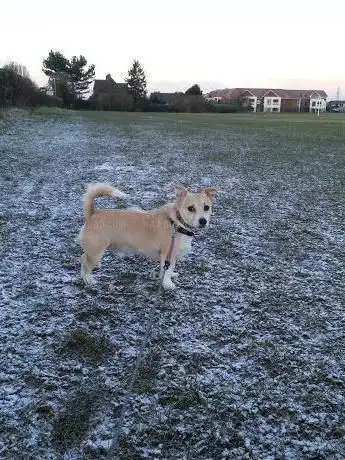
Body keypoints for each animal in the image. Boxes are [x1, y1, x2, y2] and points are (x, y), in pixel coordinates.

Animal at [78, 182, 215, 288]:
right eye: (191, 208)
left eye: (206, 207)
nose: (203, 221)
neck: (177, 222)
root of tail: (93, 213)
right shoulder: (168, 254)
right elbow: (168, 270)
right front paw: (168, 284)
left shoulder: (169, 257)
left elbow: (168, 269)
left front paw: (170, 276)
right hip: (96, 252)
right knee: (86, 264)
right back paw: (89, 280)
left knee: (83, 259)